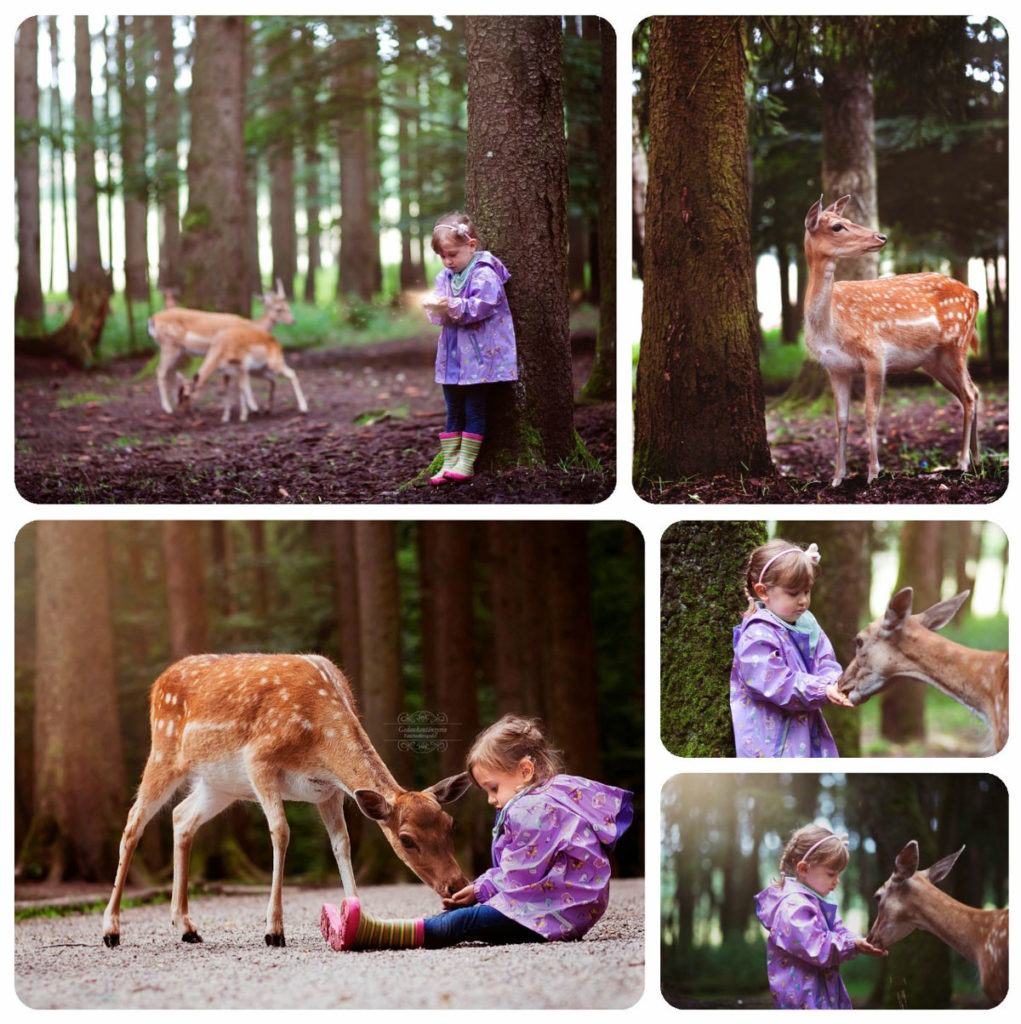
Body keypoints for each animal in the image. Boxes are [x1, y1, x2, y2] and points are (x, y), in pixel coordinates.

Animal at [103, 651, 471, 946]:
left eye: (450, 825)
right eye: (407, 840)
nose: (457, 884)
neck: (318, 739)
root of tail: (157, 685)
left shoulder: (329, 791)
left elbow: (342, 843)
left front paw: (358, 915)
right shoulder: (259, 760)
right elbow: (281, 832)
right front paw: (274, 930)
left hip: (219, 785)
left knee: (181, 816)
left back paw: (187, 928)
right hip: (164, 754)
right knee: (133, 822)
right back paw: (111, 930)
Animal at [146, 280, 294, 415]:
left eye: (287, 305)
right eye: (278, 309)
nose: (293, 320)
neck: (251, 326)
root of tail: (152, 319)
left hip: (178, 350)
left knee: (171, 372)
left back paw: (174, 403)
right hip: (169, 345)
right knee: (160, 371)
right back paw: (167, 408)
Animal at [802, 198, 974, 487]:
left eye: (849, 220)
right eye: (837, 226)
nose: (881, 236)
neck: (831, 327)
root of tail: (974, 292)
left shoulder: (875, 355)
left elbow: (871, 413)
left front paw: (873, 473)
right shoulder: (835, 367)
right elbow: (841, 418)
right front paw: (837, 477)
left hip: (958, 342)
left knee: (970, 394)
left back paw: (962, 463)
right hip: (934, 360)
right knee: (969, 394)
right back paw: (974, 457)